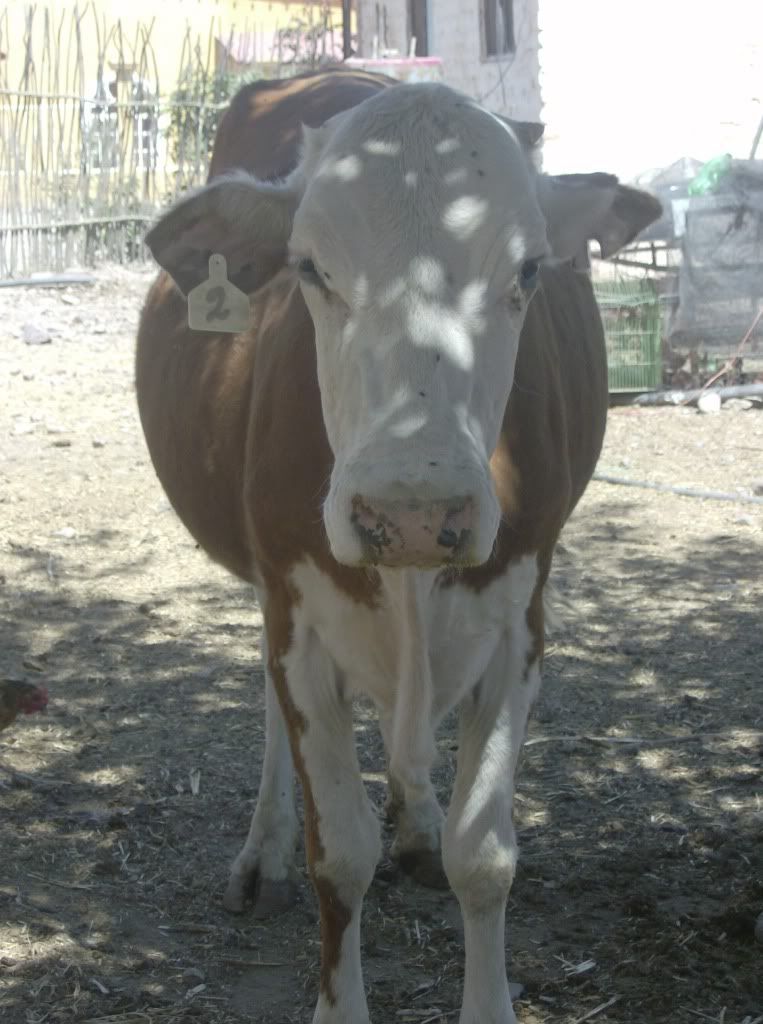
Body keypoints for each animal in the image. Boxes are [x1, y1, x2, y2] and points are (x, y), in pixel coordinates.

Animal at [136, 70, 660, 1024]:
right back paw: (261, 850)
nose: (412, 511)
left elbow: (481, 855)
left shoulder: (518, 621)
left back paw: (413, 818)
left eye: (527, 271)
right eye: (310, 269)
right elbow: (338, 854)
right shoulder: (297, 615)